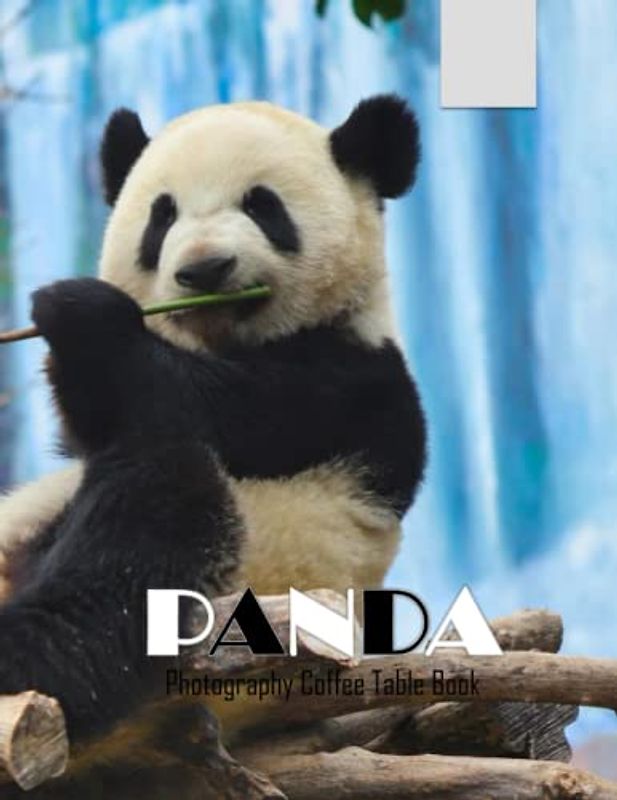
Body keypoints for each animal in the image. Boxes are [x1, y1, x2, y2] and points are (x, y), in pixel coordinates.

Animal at [0, 96, 426, 774]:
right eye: (162, 215)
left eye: (263, 206)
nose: (204, 269)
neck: (219, 335)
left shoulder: (348, 386)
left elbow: (190, 401)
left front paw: (79, 313)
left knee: (148, 532)